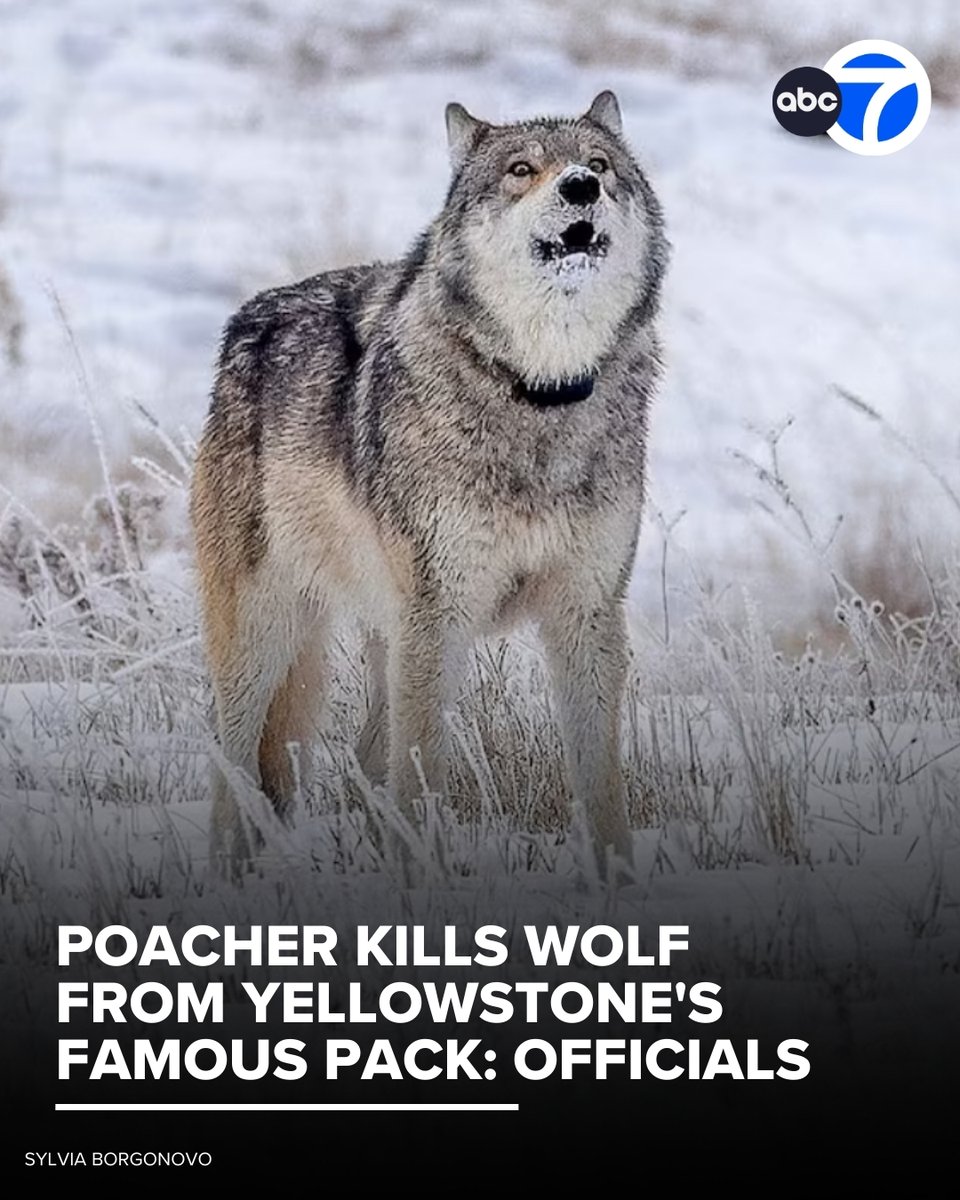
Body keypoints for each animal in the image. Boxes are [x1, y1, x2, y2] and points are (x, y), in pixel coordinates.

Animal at [190, 90, 669, 877]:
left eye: (599, 166)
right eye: (521, 170)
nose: (579, 188)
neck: (538, 393)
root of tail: (248, 321)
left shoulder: (587, 613)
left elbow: (602, 787)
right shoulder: (437, 619)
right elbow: (421, 787)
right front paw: (423, 880)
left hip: (384, 640)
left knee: (362, 757)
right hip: (270, 635)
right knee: (232, 766)